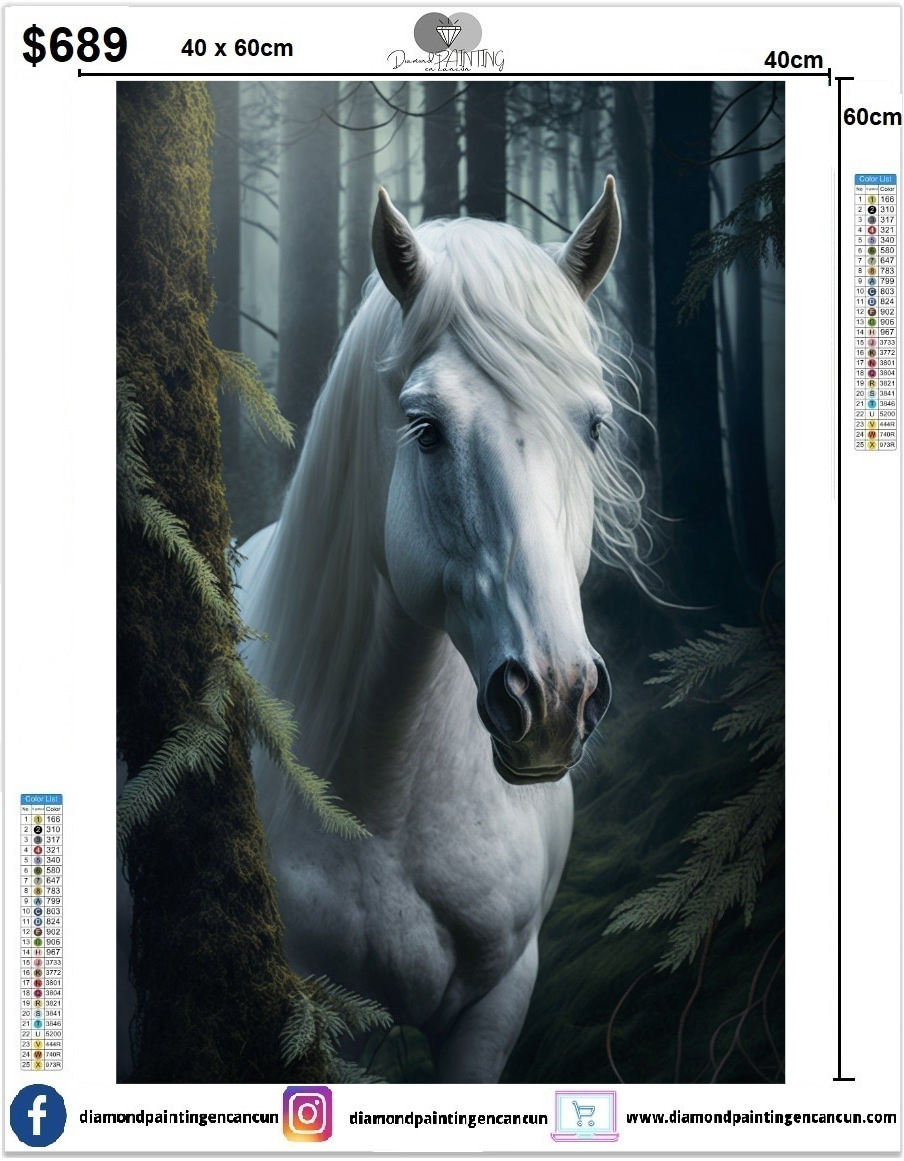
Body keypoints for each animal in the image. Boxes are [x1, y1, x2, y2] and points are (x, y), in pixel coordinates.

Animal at [236, 178, 651, 1083]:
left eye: (594, 426)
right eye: (426, 428)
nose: (554, 696)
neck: (394, 799)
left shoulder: (498, 1003)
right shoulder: (328, 1023)